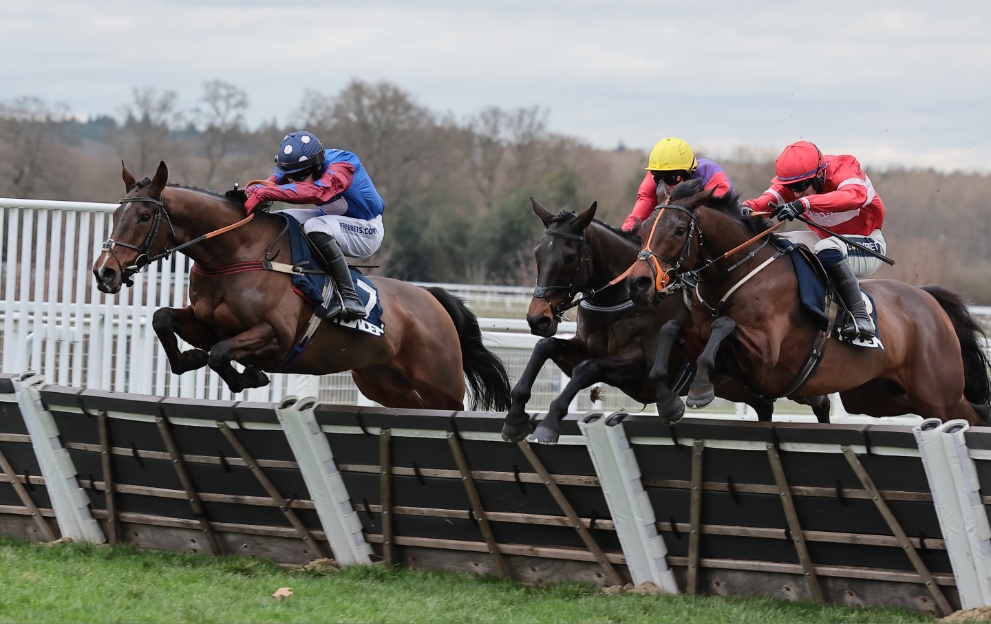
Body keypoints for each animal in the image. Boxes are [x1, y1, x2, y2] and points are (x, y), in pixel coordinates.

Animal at [92, 163, 512, 412]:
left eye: (144, 216)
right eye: (117, 213)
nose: (105, 272)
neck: (236, 254)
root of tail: (432, 299)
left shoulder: (275, 335)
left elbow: (221, 354)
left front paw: (250, 376)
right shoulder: (206, 323)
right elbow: (164, 320)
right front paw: (191, 358)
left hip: (440, 382)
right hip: (383, 381)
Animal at [504, 196, 828, 444]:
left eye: (570, 257)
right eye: (537, 253)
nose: (538, 318)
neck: (617, 303)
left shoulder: (638, 369)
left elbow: (588, 368)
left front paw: (548, 422)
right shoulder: (584, 348)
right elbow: (544, 348)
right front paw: (515, 417)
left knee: (821, 401)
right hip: (741, 385)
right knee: (764, 405)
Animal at [628, 183, 991, 424]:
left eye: (678, 230)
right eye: (643, 228)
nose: (638, 282)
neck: (738, 271)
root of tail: (929, 299)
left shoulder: (766, 356)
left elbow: (724, 324)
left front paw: (700, 390)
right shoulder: (711, 346)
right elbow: (673, 328)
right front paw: (668, 400)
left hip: (937, 393)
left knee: (969, 414)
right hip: (876, 396)